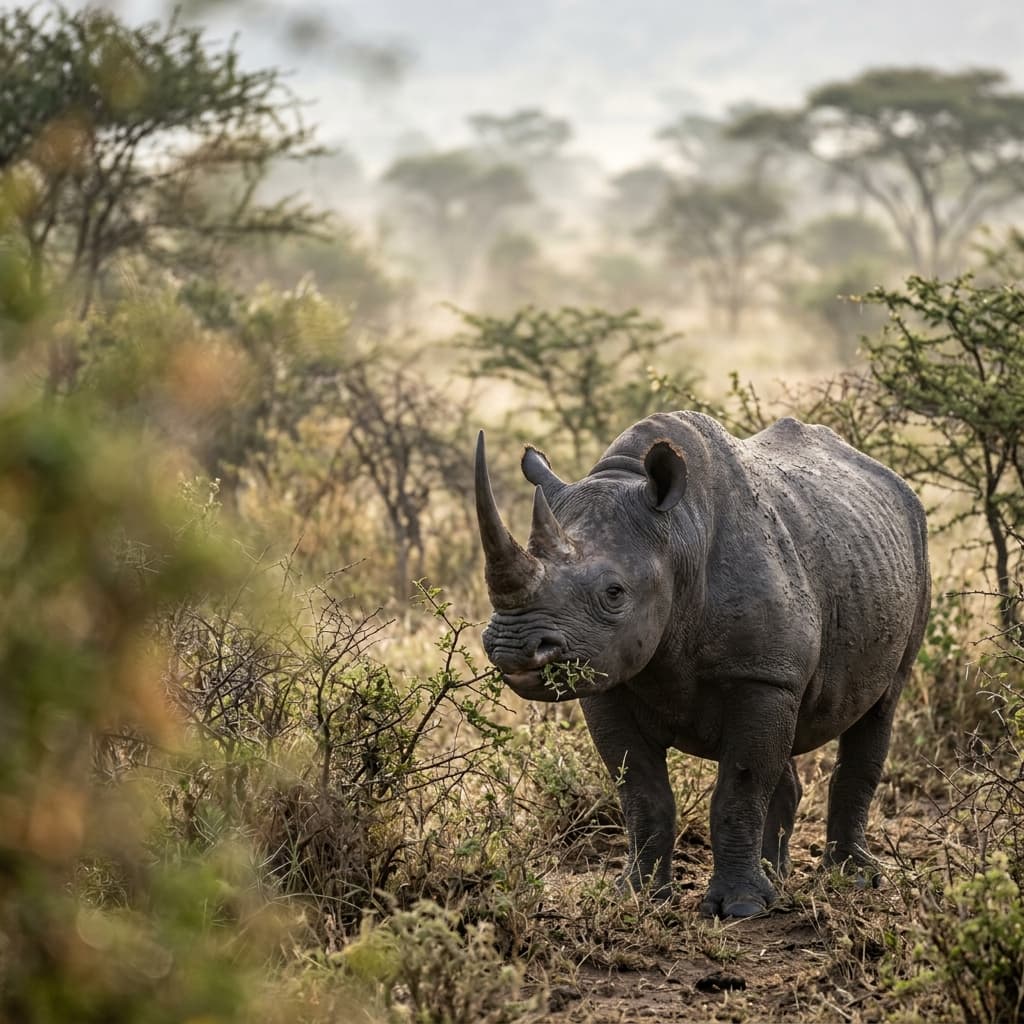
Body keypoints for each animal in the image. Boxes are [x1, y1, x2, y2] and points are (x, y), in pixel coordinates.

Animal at [475, 411, 930, 918]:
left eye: (614, 592)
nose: (514, 646)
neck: (676, 537)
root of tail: (892, 481)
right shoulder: (610, 681)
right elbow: (642, 791)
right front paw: (639, 895)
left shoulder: (762, 676)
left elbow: (740, 789)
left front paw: (741, 908)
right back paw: (778, 878)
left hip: (913, 548)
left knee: (881, 706)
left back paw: (852, 879)